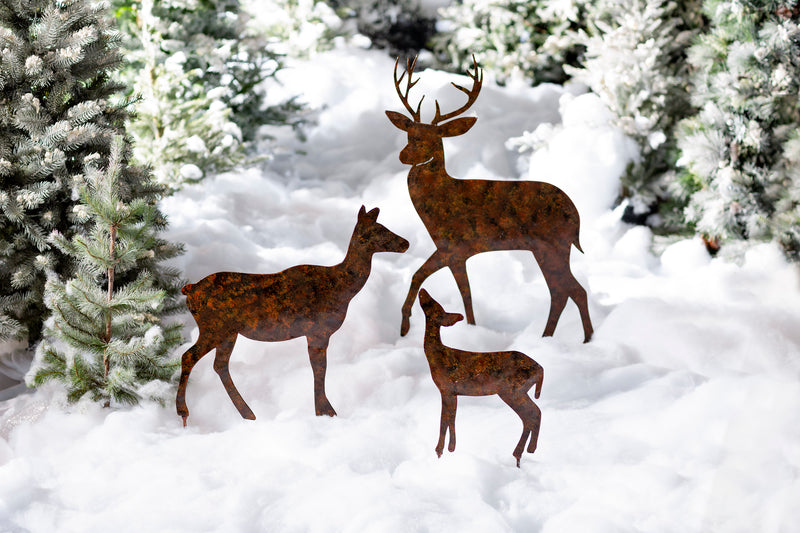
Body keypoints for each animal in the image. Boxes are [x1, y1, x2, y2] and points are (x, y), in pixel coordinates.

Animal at [175, 206, 409, 426]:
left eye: (384, 226)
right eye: (377, 230)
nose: (405, 243)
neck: (342, 288)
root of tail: (190, 290)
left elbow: (318, 369)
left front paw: (324, 411)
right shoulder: (318, 331)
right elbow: (320, 369)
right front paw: (325, 412)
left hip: (228, 333)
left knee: (219, 365)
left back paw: (248, 414)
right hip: (214, 327)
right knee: (189, 356)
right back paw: (184, 413)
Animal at [386, 56, 594, 343]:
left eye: (431, 138)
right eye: (409, 134)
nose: (403, 156)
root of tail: (576, 216)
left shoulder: (453, 246)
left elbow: (429, 279)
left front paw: (406, 328)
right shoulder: (456, 252)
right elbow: (462, 292)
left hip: (553, 244)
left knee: (569, 289)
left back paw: (574, 340)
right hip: (547, 248)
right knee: (565, 290)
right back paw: (557, 338)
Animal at [418, 289, 543, 467]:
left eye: (433, 304)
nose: (422, 291)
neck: (437, 356)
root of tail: (541, 369)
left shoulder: (447, 389)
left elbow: (444, 421)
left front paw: (440, 451)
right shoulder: (451, 391)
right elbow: (450, 419)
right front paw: (449, 450)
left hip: (513, 390)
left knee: (533, 413)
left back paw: (523, 453)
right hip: (518, 391)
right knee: (532, 415)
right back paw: (522, 454)